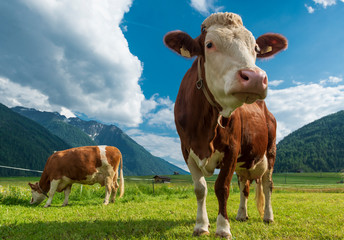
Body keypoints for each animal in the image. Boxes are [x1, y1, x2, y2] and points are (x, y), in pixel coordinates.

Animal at [164, 12, 288, 238]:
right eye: (209, 44)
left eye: (255, 48)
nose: (255, 77)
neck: (203, 127)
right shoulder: (186, 150)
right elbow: (200, 188)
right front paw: (201, 226)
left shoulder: (232, 148)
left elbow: (222, 188)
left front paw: (222, 228)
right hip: (244, 162)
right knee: (244, 185)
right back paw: (241, 214)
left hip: (271, 151)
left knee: (267, 184)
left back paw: (268, 217)